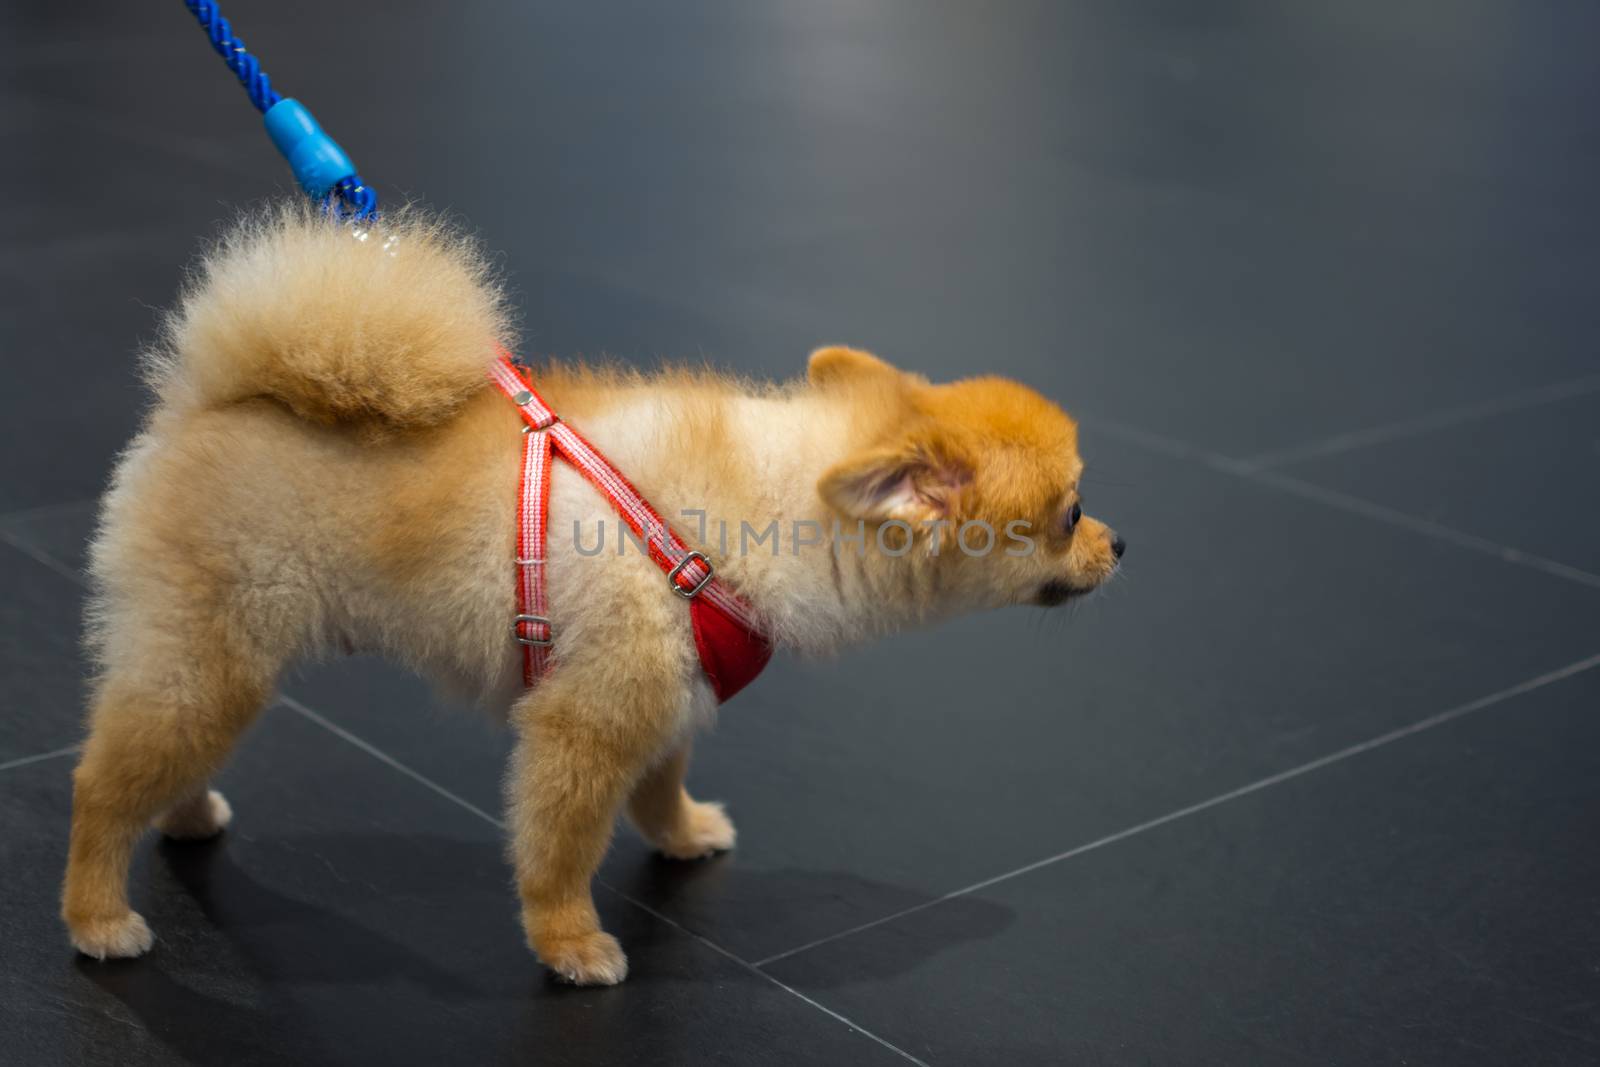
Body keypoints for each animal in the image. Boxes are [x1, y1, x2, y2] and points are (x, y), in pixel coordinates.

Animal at [62, 204, 1126, 991]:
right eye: (1071, 512)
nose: (1123, 543)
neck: (756, 509)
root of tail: (204, 399)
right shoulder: (587, 718)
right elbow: (561, 845)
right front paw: (570, 944)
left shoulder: (667, 691)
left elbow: (660, 783)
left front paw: (685, 834)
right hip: (206, 662)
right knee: (99, 784)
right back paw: (99, 915)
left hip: (213, 664)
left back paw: (188, 814)